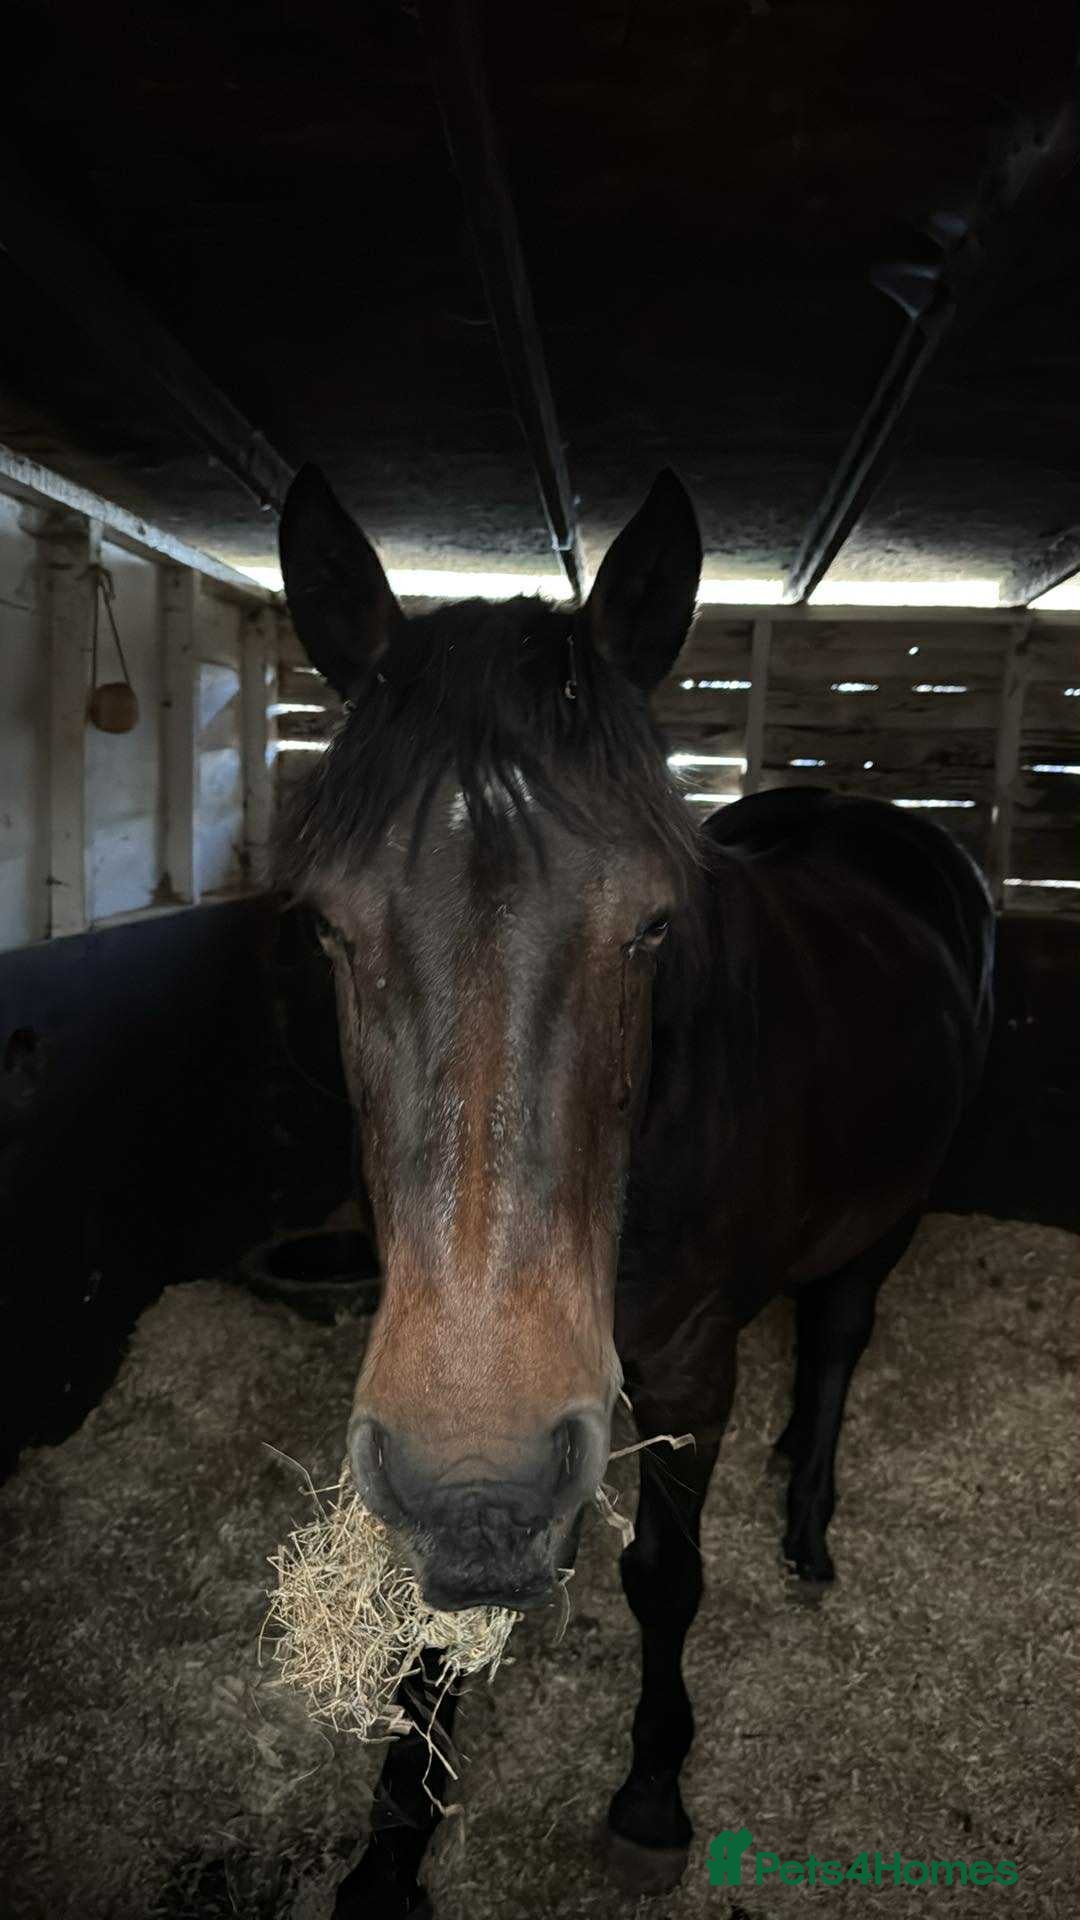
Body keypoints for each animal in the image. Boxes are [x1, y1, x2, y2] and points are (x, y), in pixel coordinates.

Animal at [274, 465, 995, 1917]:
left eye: (655, 925)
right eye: (325, 924)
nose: (481, 1473)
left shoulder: (685, 1370)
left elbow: (666, 1576)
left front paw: (653, 1792)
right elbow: (434, 1617)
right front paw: (393, 1843)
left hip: (889, 1221)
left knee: (839, 1340)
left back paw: (807, 1526)